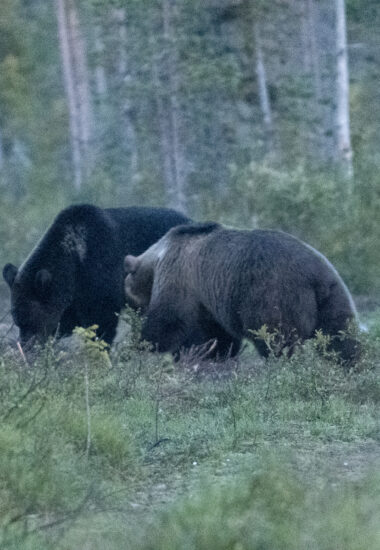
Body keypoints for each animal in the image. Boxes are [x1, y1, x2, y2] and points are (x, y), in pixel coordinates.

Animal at [2, 205, 190, 348]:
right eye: (17, 320)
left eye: (31, 321)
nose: (26, 346)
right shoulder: (74, 297)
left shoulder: (100, 274)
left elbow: (101, 321)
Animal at [124, 222, 360, 364]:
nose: (135, 310)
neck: (157, 257)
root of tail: (315, 275)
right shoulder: (209, 301)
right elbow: (217, 334)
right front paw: (215, 354)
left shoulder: (179, 275)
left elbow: (168, 320)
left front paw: (139, 344)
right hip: (333, 297)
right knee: (342, 338)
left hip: (274, 295)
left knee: (277, 339)